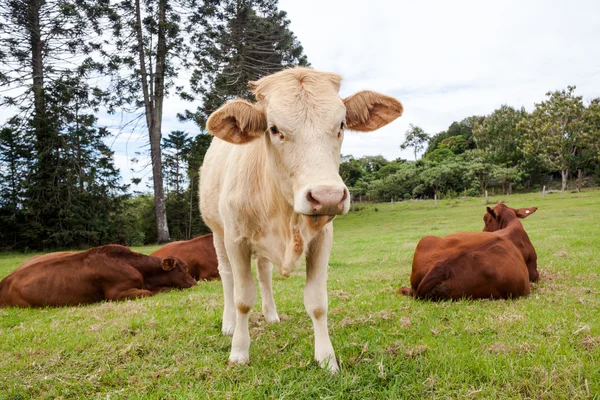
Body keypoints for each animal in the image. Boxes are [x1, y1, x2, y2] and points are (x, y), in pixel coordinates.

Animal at [202, 68, 404, 372]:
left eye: (341, 124)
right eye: (274, 129)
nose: (327, 196)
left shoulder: (322, 239)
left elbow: (317, 302)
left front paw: (327, 359)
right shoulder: (236, 240)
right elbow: (242, 299)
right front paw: (238, 352)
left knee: (264, 272)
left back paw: (271, 314)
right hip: (217, 233)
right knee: (226, 276)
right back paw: (228, 324)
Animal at [400, 203, 536, 300]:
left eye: (486, 219)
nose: (483, 231)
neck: (512, 225)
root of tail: (443, 267)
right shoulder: (534, 273)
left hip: (425, 239)